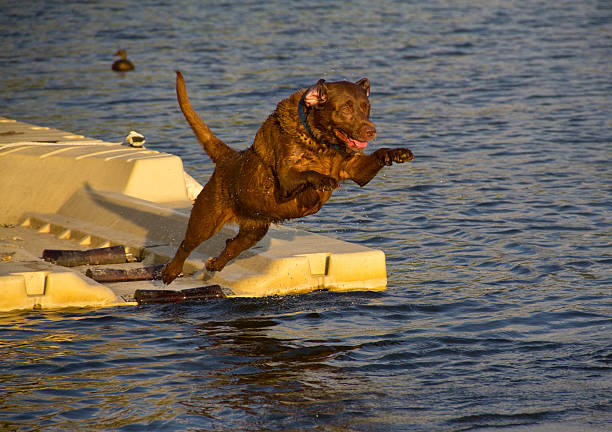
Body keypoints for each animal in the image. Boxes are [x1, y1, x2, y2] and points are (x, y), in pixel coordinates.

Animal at [160, 72, 414, 286]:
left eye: (366, 107)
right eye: (346, 109)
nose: (371, 130)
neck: (321, 142)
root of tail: (228, 157)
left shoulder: (356, 170)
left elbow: (378, 154)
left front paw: (397, 153)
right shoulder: (285, 180)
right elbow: (307, 173)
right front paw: (324, 180)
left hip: (254, 229)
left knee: (231, 245)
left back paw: (214, 263)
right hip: (207, 219)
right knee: (186, 244)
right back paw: (170, 272)